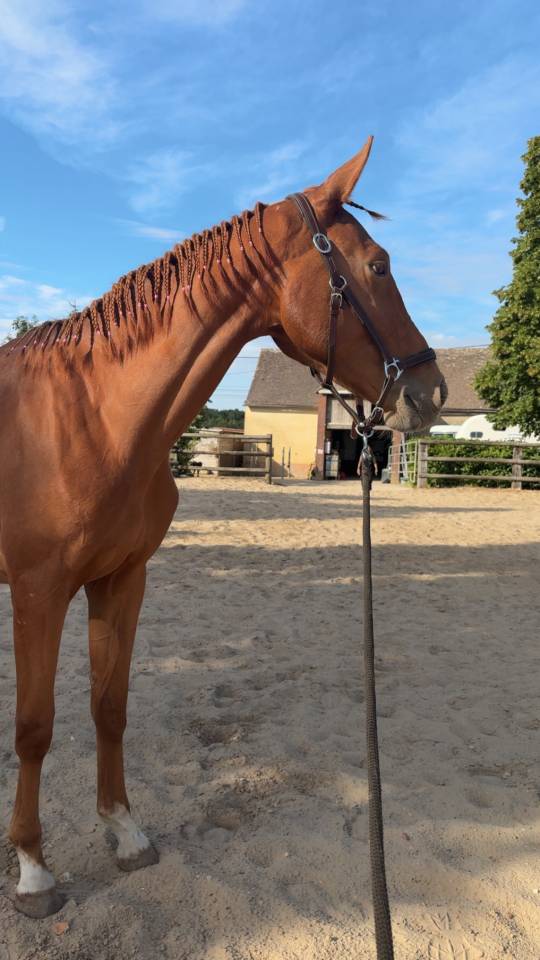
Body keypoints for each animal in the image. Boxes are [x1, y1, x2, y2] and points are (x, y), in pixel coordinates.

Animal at [0, 137, 446, 917]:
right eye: (379, 265)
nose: (432, 392)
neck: (93, 417)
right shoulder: (38, 590)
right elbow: (34, 726)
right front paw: (32, 870)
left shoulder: (122, 580)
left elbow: (109, 704)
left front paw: (125, 832)